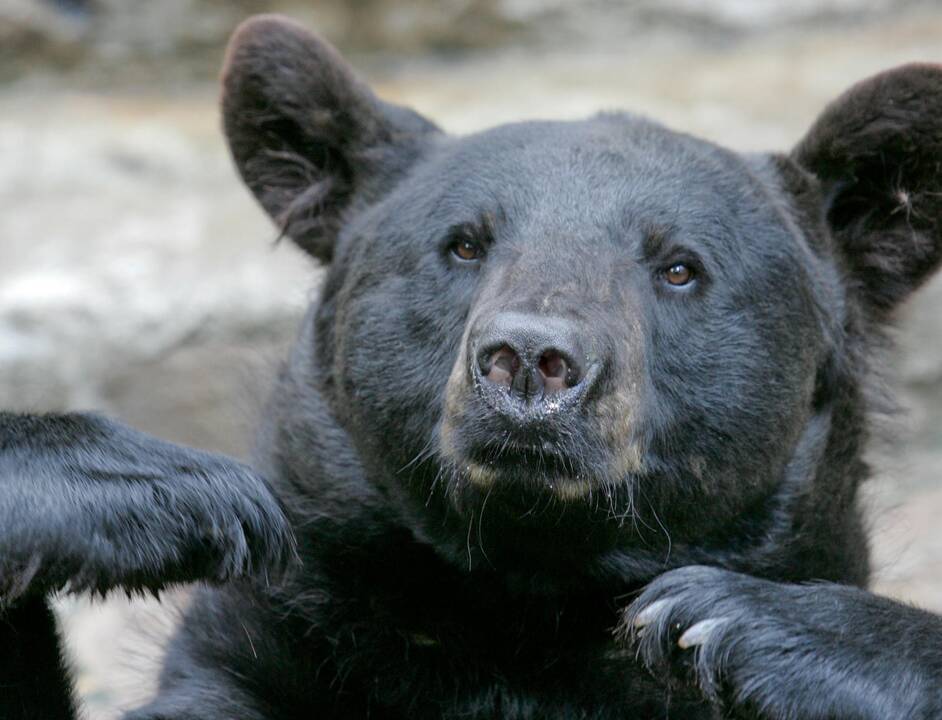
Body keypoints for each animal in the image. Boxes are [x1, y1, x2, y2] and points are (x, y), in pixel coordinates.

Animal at [1, 14, 942, 720]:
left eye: (679, 266)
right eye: (463, 243)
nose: (529, 361)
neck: (529, 601)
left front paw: (737, 621)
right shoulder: (266, 662)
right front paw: (147, 489)